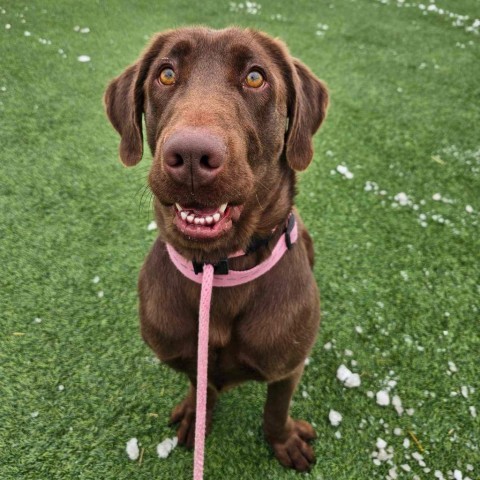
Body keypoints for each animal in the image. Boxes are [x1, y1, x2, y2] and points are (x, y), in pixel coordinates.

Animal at [104, 27, 328, 472]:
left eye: (256, 77)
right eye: (166, 74)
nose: (191, 155)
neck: (219, 266)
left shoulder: (288, 365)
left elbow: (276, 409)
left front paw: (284, 441)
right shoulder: (188, 354)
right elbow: (200, 385)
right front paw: (197, 416)